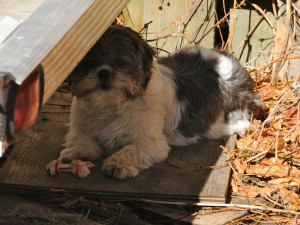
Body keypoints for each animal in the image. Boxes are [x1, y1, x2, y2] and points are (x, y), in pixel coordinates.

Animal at [58, 25, 264, 179]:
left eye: (120, 63)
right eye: (89, 64)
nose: (104, 72)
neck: (111, 105)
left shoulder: (151, 142)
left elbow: (132, 149)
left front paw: (118, 164)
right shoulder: (80, 127)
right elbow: (81, 138)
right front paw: (75, 152)